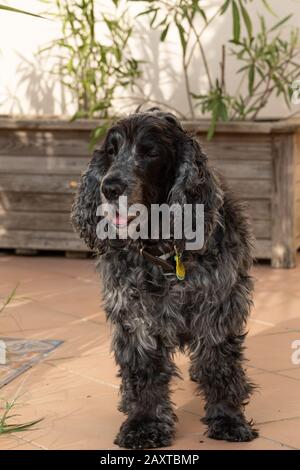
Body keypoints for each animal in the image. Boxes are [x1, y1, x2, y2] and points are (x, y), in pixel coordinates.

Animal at [72, 109, 258, 448]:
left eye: (150, 152)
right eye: (111, 151)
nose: (110, 187)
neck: (164, 252)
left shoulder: (218, 308)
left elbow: (219, 365)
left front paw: (228, 419)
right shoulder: (135, 315)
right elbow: (143, 372)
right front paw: (143, 424)